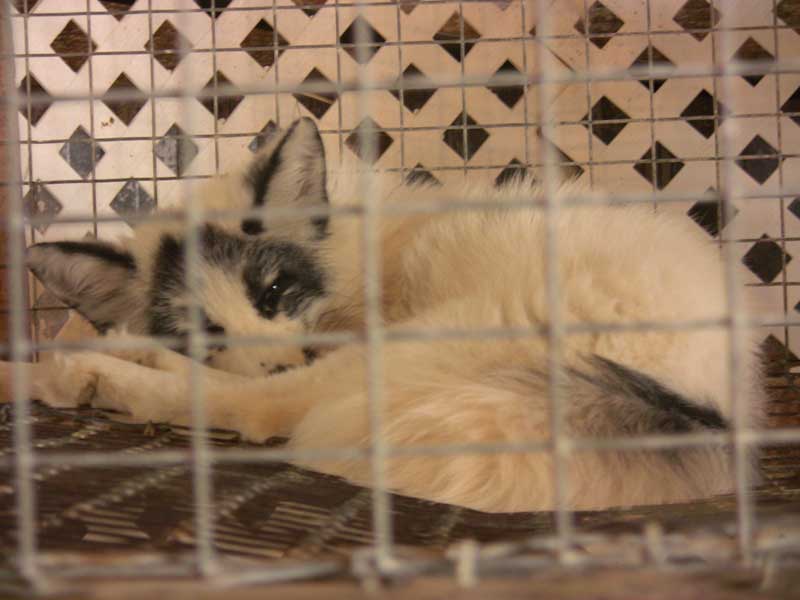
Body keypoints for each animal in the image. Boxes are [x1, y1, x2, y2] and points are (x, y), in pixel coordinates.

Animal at [3, 117, 764, 513]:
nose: (284, 353)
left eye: (274, 290)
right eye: (204, 330)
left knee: (259, 408)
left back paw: (95, 371)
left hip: (406, 351)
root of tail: (713, 406)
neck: (360, 252)